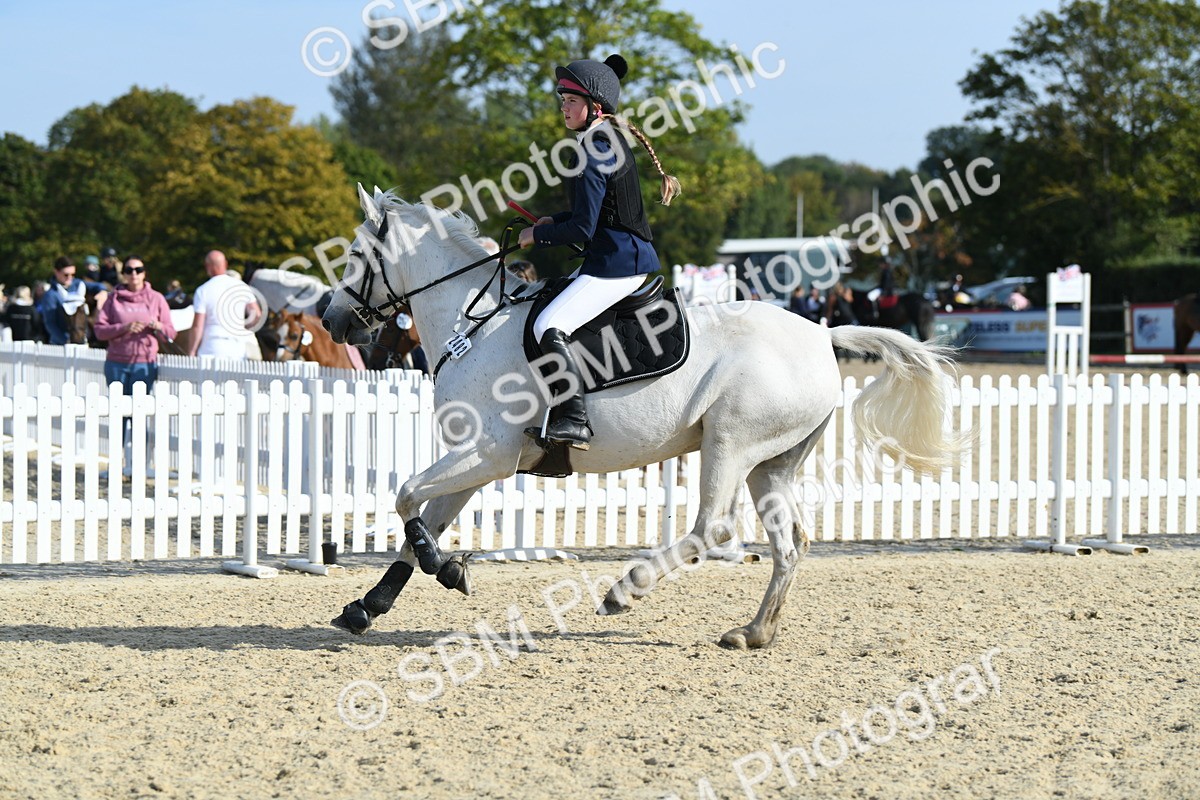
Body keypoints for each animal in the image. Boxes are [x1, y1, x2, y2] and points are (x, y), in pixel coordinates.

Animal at [319, 185, 965, 650]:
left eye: (355, 256)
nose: (331, 321)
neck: (472, 325)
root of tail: (822, 335)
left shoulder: (489, 454)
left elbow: (406, 495)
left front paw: (444, 568)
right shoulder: (474, 460)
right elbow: (419, 522)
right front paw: (372, 604)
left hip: (730, 443)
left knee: (712, 530)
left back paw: (624, 591)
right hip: (771, 463)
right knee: (790, 543)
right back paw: (753, 632)